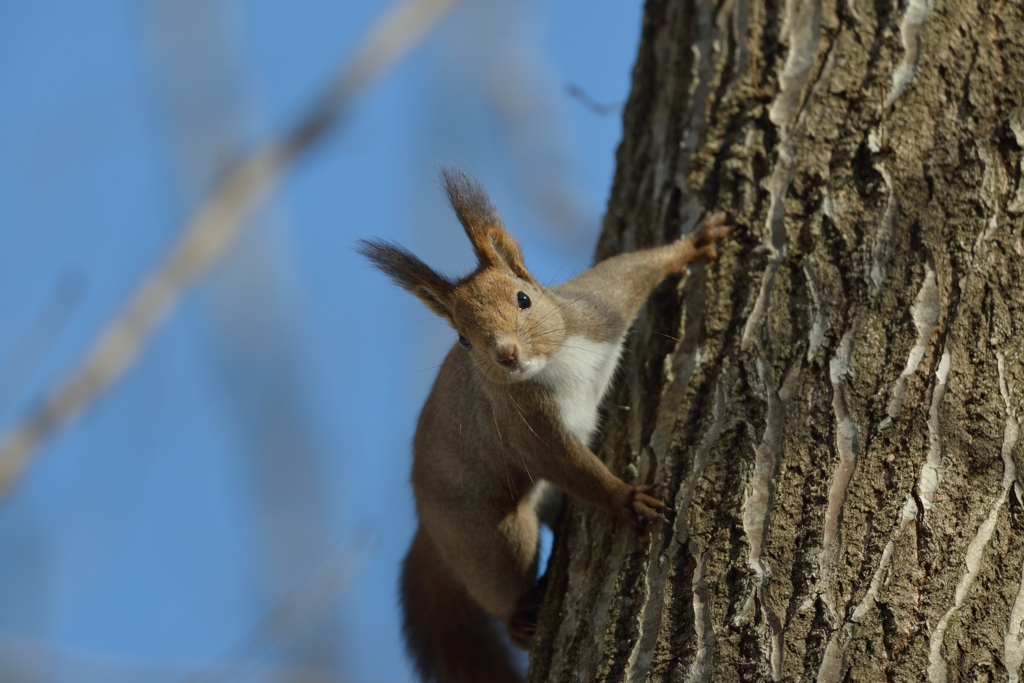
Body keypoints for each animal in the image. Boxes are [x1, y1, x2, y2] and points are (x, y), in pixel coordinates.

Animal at [360, 166, 729, 683]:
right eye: (463, 339)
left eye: (524, 298)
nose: (506, 354)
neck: (553, 364)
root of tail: (428, 533)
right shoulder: (527, 430)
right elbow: (576, 469)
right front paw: (628, 501)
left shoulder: (600, 306)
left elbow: (633, 268)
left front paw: (690, 245)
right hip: (491, 538)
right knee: (501, 585)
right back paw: (520, 619)